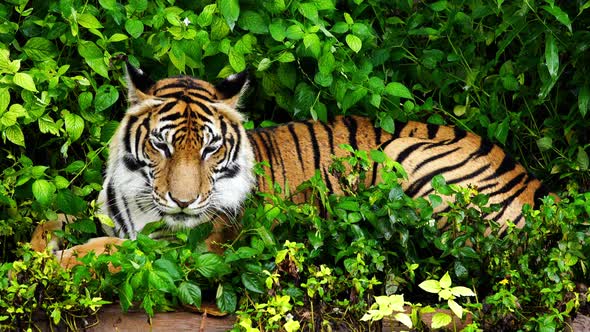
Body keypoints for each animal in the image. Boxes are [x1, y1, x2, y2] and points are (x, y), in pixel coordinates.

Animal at [31, 61, 552, 268]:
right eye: (161, 146)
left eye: (209, 149)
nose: (183, 201)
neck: (141, 197)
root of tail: (538, 188)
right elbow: (53, 218)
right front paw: (38, 247)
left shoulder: (191, 247)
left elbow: (107, 251)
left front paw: (53, 261)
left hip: (408, 160)